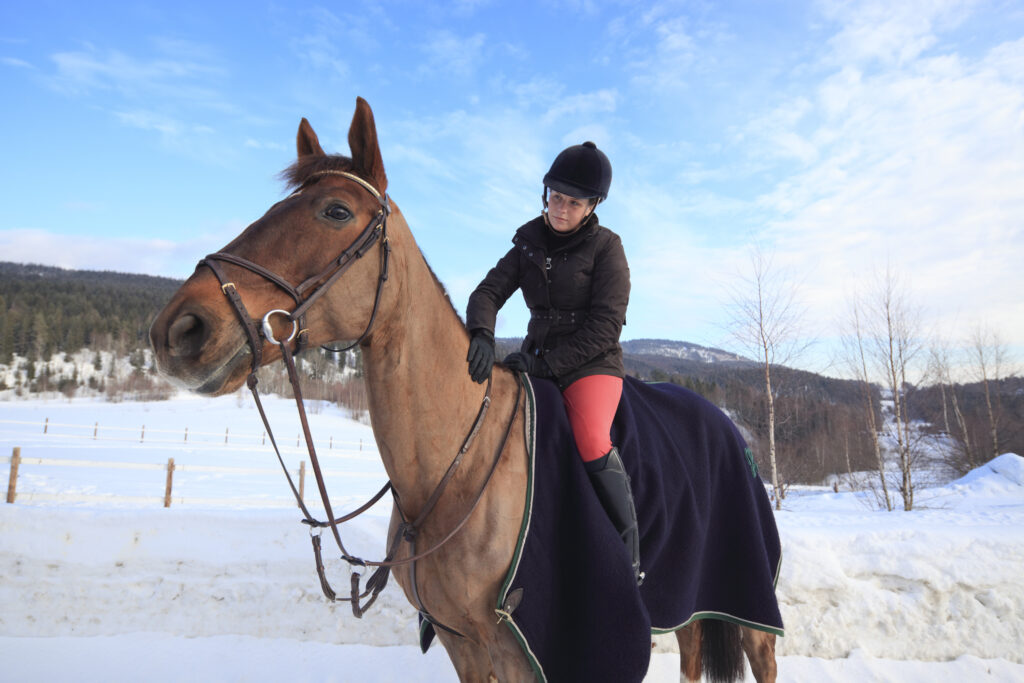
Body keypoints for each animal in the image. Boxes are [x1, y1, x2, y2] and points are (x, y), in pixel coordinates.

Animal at [149, 97, 779, 683]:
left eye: (336, 211)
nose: (179, 330)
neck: (456, 464)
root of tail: (729, 425)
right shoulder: (464, 645)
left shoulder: (526, 649)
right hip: (688, 600)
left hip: (746, 601)